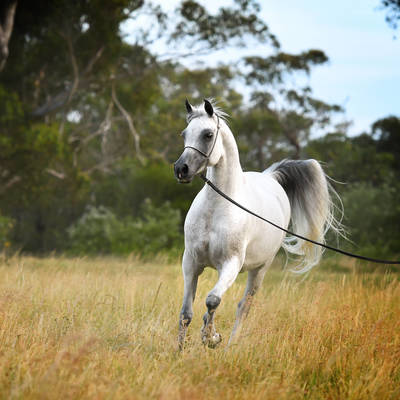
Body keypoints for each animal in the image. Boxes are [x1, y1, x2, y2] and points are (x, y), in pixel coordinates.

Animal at [173, 99, 341, 349]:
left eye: (208, 134)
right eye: (184, 134)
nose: (180, 169)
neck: (216, 210)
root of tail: (271, 177)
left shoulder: (230, 264)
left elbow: (212, 300)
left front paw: (211, 337)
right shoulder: (191, 263)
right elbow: (186, 313)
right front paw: (179, 351)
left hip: (260, 270)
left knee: (243, 307)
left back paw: (229, 347)